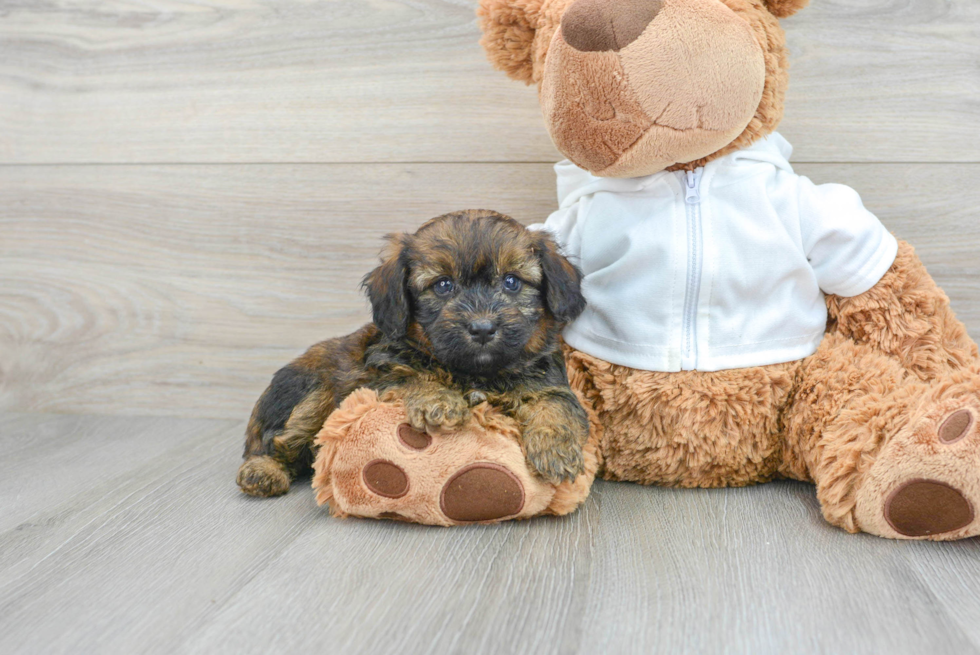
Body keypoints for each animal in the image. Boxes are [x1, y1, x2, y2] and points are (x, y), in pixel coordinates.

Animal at [237, 210, 588, 498]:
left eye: (512, 282)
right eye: (443, 285)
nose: (483, 328)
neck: (475, 372)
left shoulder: (547, 380)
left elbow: (556, 405)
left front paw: (555, 449)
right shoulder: (380, 373)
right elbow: (413, 377)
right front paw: (439, 401)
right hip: (312, 395)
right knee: (278, 442)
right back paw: (262, 471)